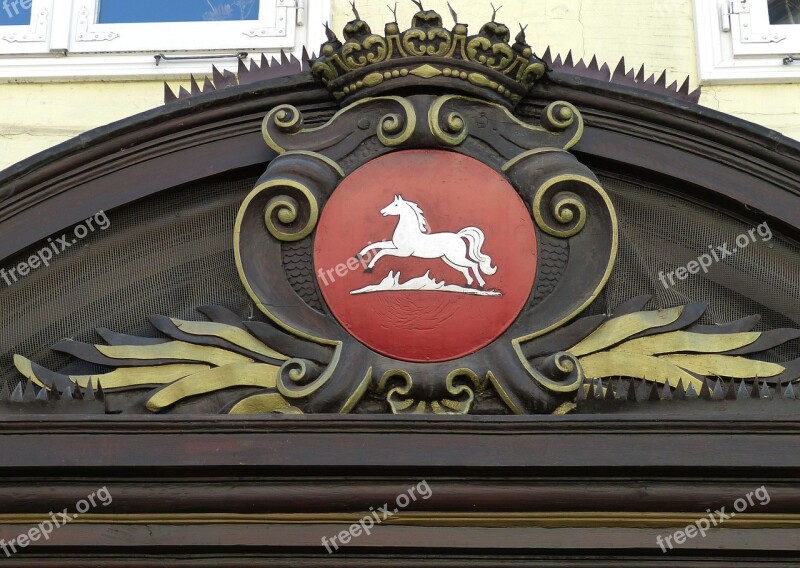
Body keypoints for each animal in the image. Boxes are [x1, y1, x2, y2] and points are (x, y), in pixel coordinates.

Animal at [360, 195, 496, 288]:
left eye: (396, 205)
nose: (382, 211)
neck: (408, 231)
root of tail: (458, 236)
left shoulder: (404, 252)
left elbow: (382, 251)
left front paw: (369, 268)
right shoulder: (395, 245)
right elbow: (377, 244)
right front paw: (360, 255)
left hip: (456, 257)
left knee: (473, 265)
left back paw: (481, 285)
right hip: (448, 259)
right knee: (465, 269)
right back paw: (468, 284)